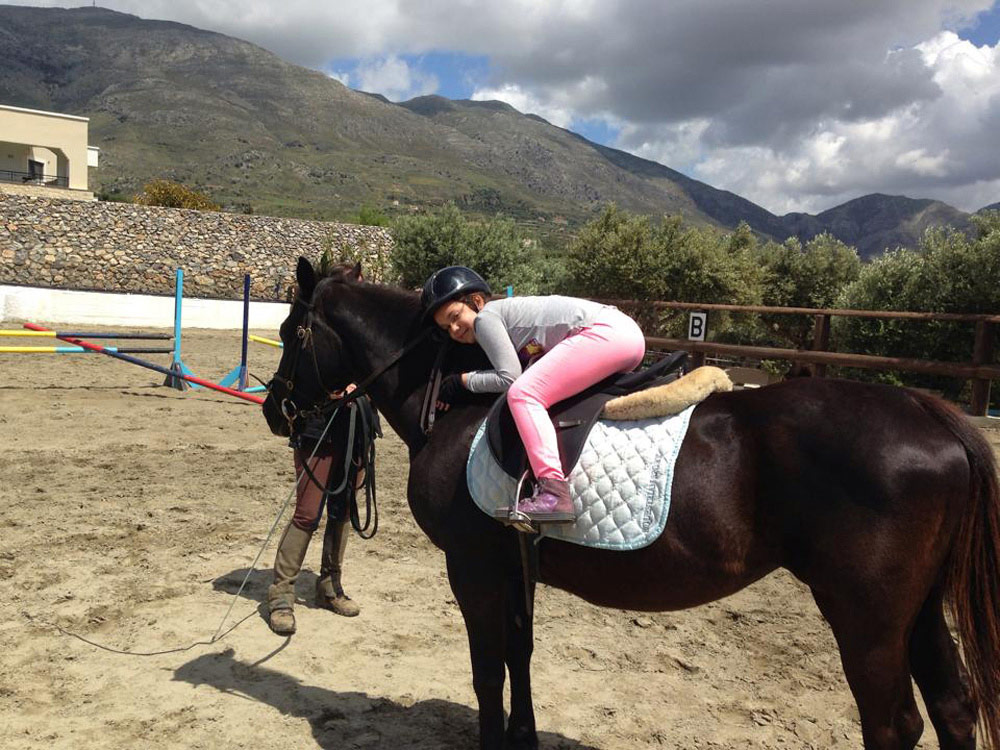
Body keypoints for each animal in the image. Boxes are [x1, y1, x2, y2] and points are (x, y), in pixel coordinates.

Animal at [262, 257, 1000, 750]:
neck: (452, 403)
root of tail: (930, 413)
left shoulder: (472, 567)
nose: (276, 410)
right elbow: (519, 653)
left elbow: (486, 668)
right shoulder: (514, 566)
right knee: (953, 705)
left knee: (893, 723)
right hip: (916, 609)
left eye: (293, 329)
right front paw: (524, 737)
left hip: (865, 615)